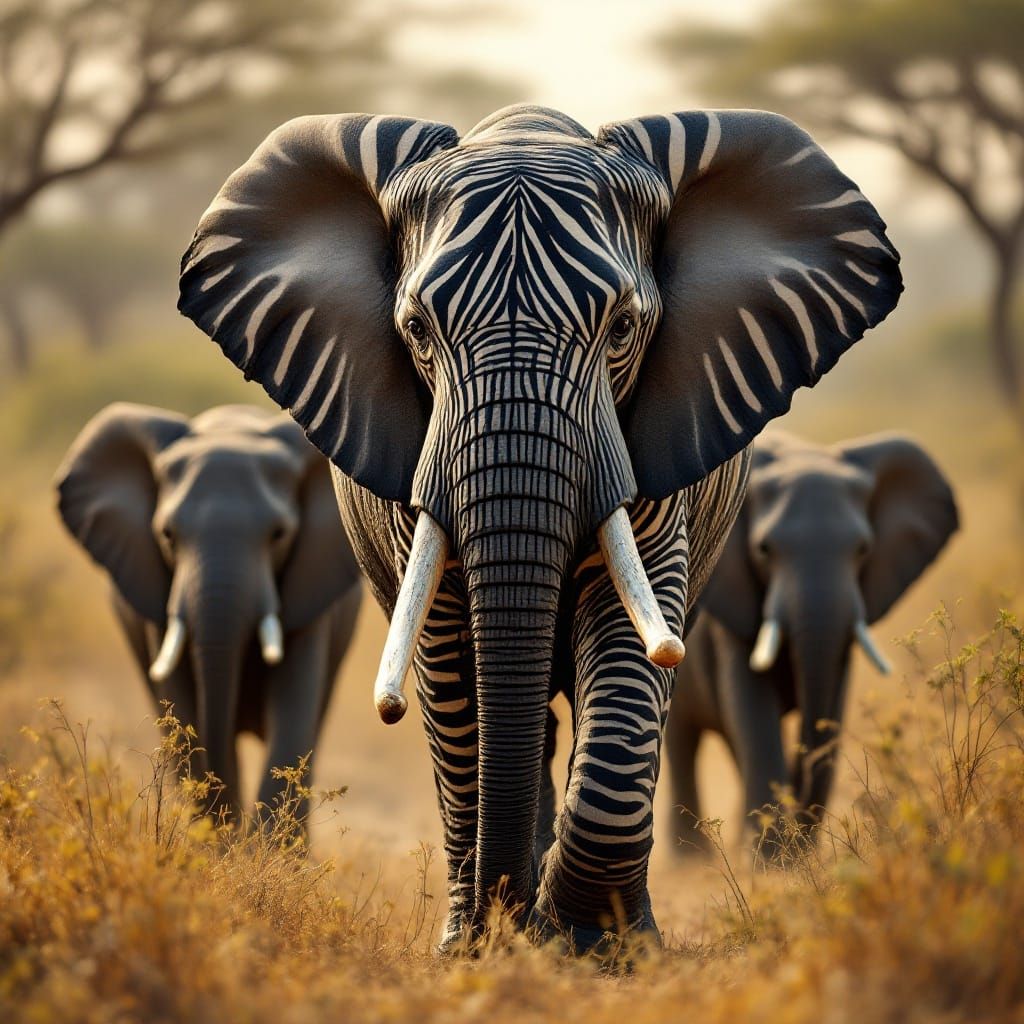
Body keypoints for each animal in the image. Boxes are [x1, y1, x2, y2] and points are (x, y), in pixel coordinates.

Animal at [177, 104, 902, 951]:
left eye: (621, 330)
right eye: (416, 331)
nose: (510, 919)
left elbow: (627, 646)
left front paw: (596, 945)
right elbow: (453, 673)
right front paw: (480, 945)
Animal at [666, 430, 958, 858]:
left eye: (863, 549)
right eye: (764, 550)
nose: (800, 843)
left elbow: (830, 705)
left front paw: (794, 858)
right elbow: (751, 707)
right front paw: (771, 863)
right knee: (683, 741)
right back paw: (691, 859)